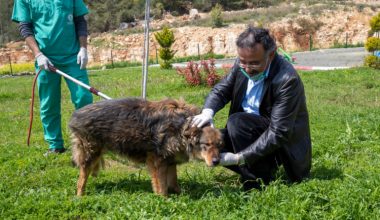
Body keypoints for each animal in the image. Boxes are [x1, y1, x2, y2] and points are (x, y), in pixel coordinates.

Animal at [69, 98, 223, 196]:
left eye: (219, 145)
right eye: (206, 144)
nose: (217, 162)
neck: (182, 126)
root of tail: (75, 114)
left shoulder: (170, 160)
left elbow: (173, 181)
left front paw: (178, 194)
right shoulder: (158, 160)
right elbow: (161, 184)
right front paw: (164, 199)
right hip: (90, 153)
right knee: (81, 179)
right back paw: (80, 196)